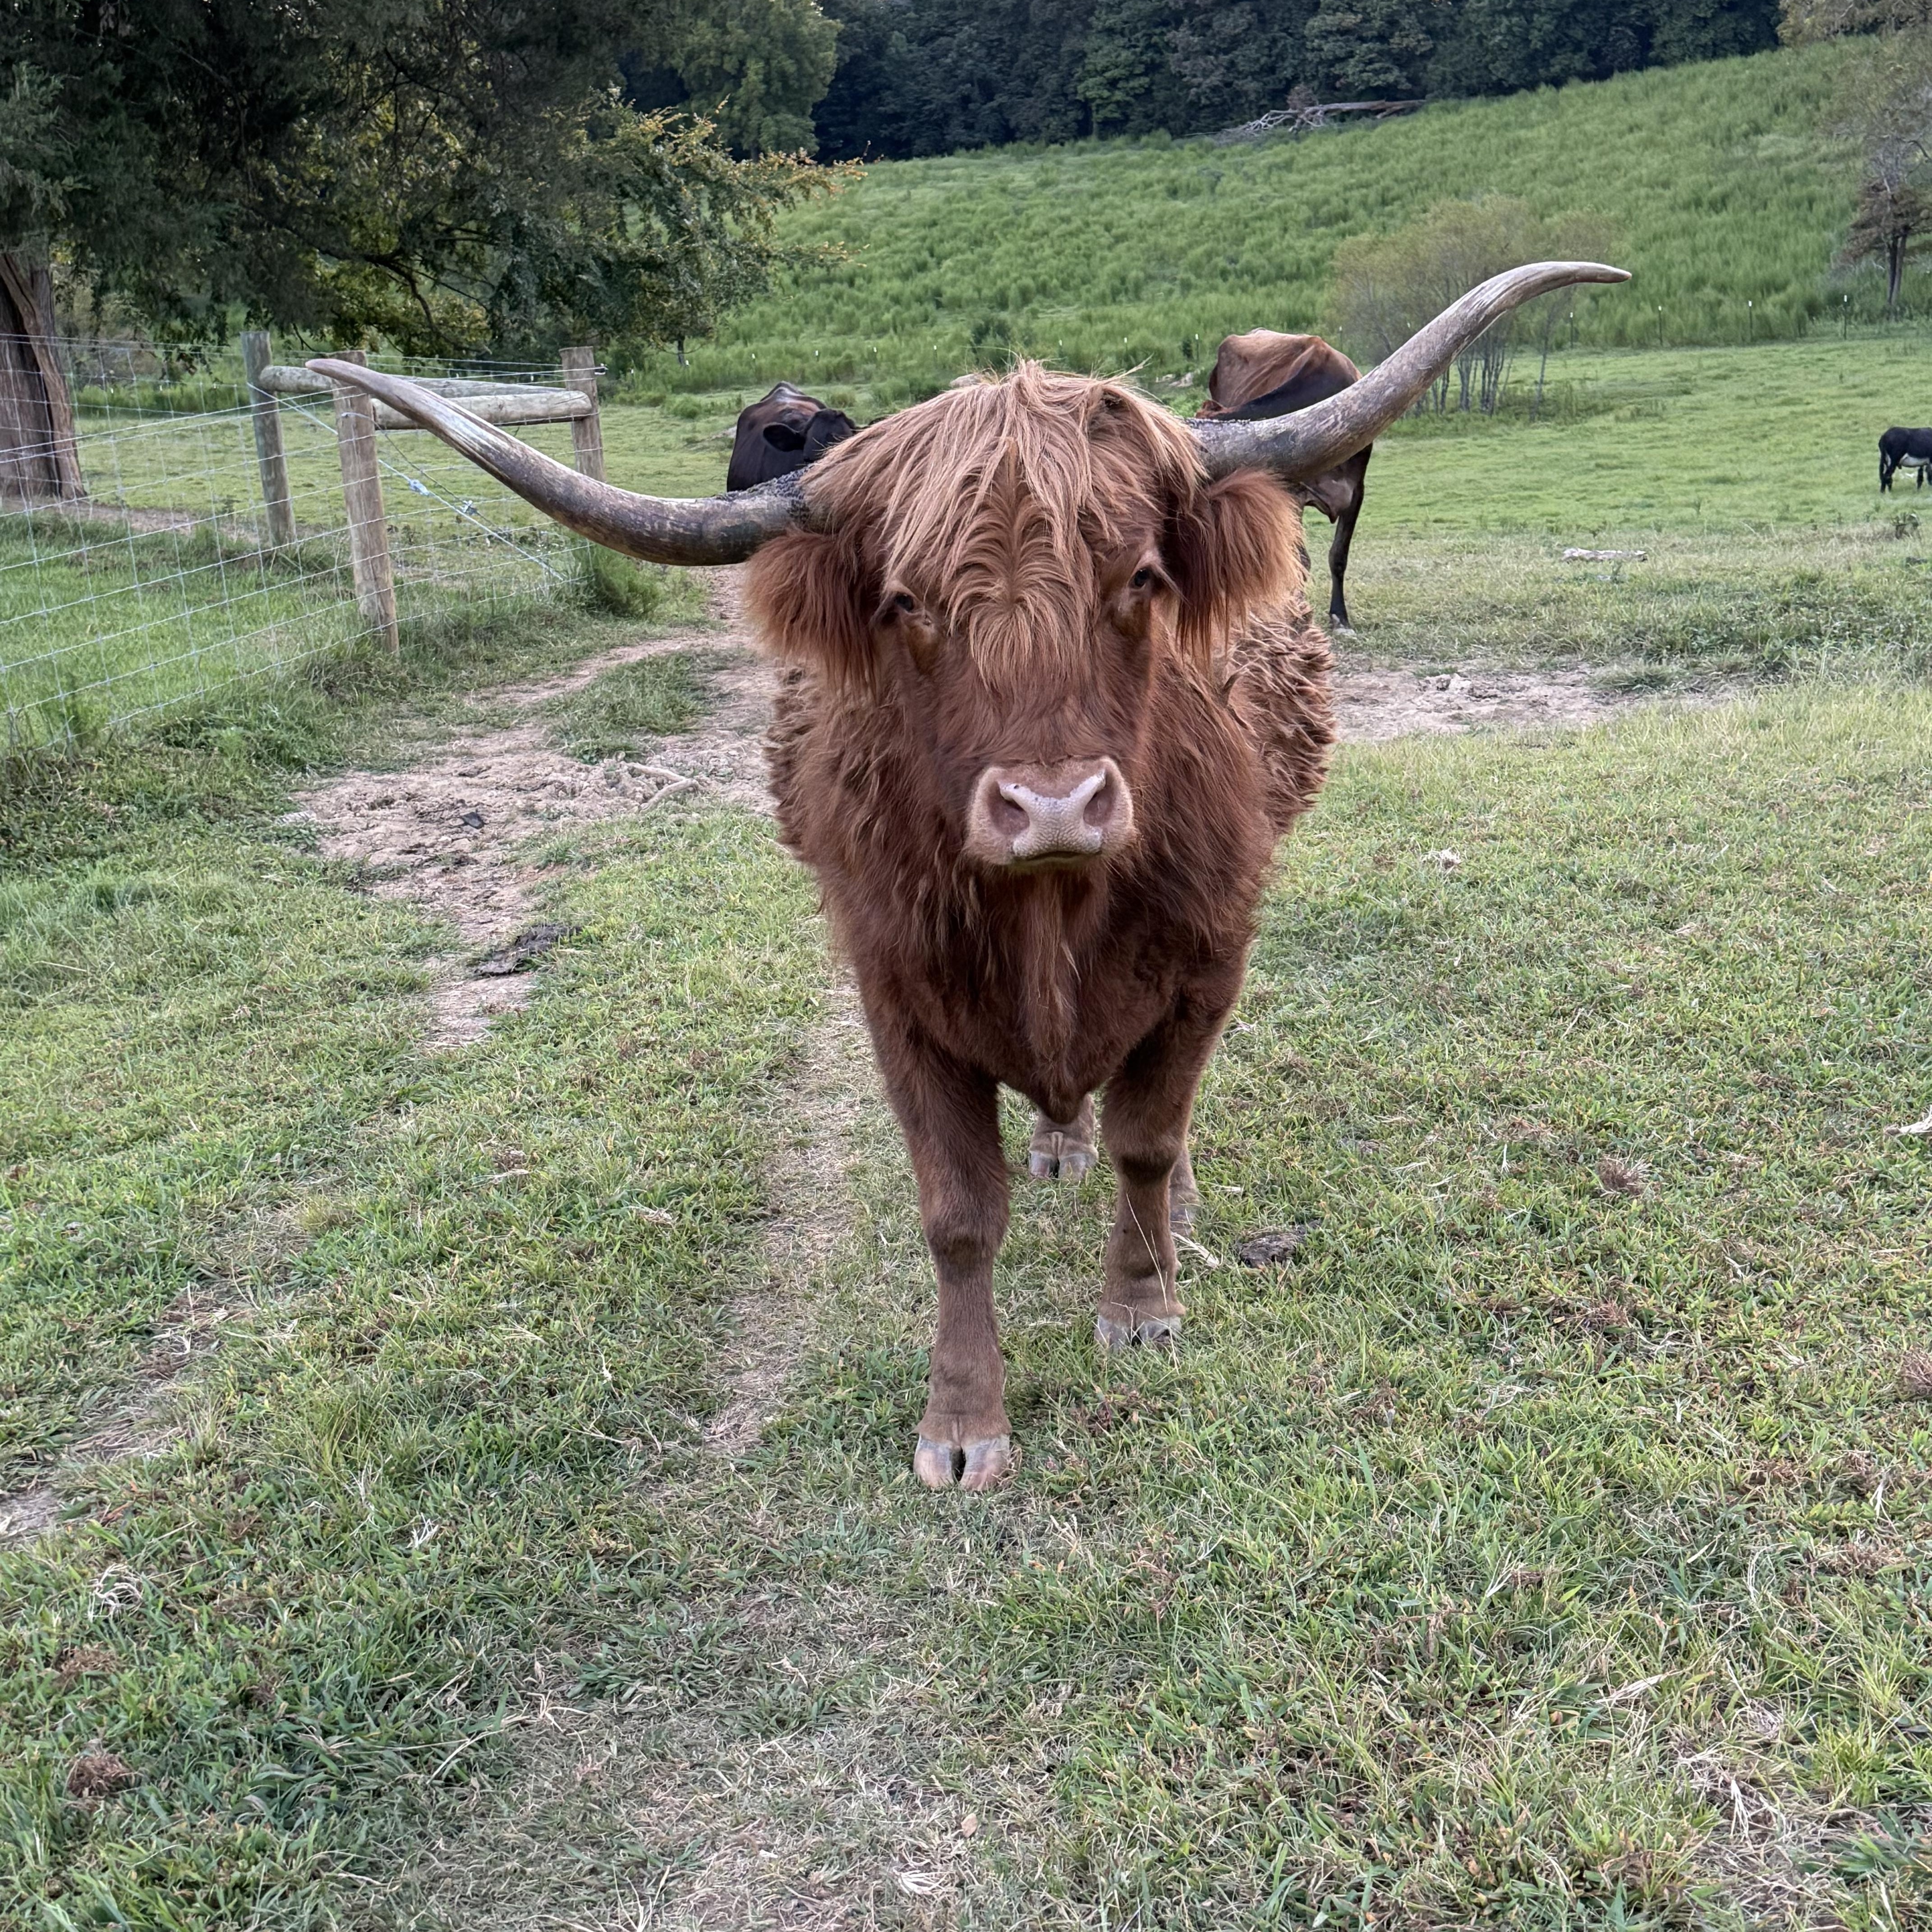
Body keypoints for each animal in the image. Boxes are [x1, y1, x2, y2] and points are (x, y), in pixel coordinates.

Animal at [1880, 427, 1932, 492]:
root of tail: (1884, 436)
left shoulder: (1922, 464)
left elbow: (1920, 478)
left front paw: (1919, 492)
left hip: (1886, 462)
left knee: (1886, 477)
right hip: (1893, 462)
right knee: (1886, 476)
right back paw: (1884, 493)